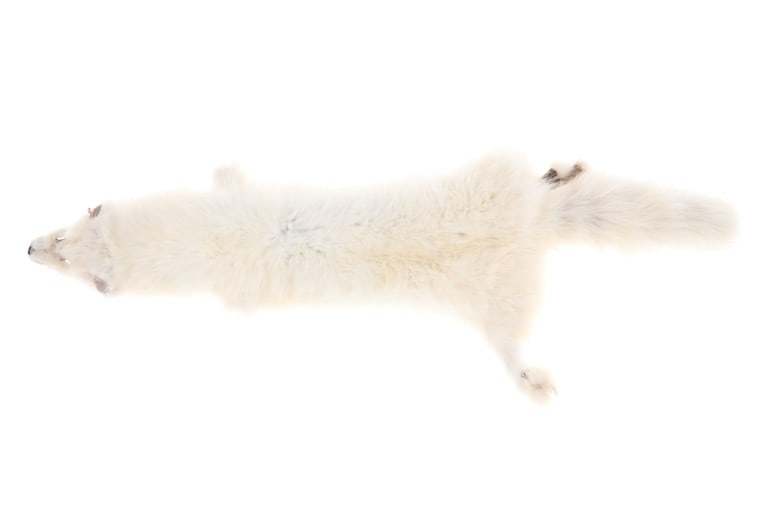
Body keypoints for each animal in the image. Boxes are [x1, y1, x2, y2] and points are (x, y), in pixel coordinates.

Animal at [28, 154, 736, 403]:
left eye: (61, 246)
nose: (27, 246)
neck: (209, 237)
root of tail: (532, 228)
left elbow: (227, 178)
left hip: (494, 189)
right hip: (497, 288)